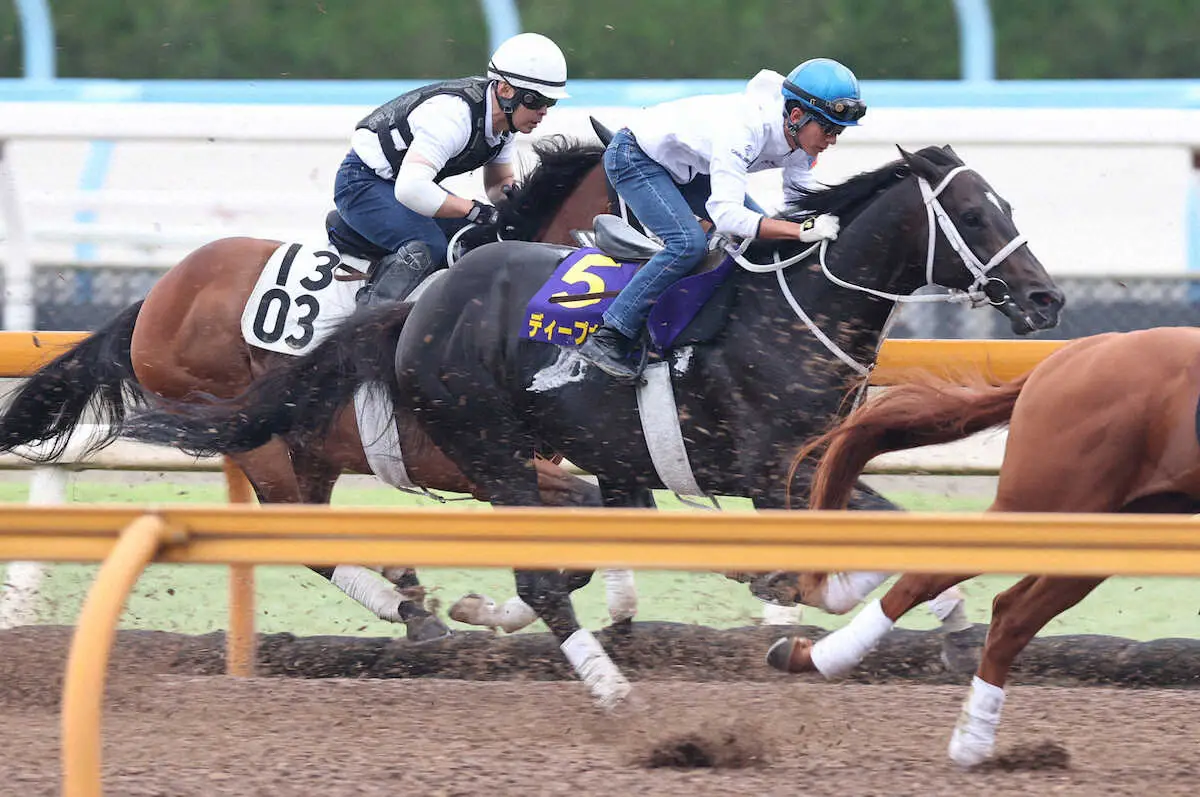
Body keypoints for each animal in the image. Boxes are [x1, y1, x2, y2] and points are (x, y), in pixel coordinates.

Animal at [0, 135, 614, 633]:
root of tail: (156, 297)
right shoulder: (466, 464)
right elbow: (585, 511)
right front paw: (490, 611)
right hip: (251, 434)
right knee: (297, 532)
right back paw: (408, 609)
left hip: (314, 446)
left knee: (315, 525)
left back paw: (405, 587)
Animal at [119, 144, 1060, 705]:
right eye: (976, 216)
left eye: (1010, 207)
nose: (1047, 298)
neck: (791, 312)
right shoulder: (768, 477)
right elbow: (812, 563)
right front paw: (782, 596)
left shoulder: (807, 465)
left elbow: (895, 532)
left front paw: (948, 633)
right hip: (445, 450)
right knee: (471, 564)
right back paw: (590, 677)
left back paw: (438, 605)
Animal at [763, 326, 1200, 768]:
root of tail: (1069, 354)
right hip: (1046, 505)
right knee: (942, 582)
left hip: (1111, 528)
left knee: (1010, 613)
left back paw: (970, 739)